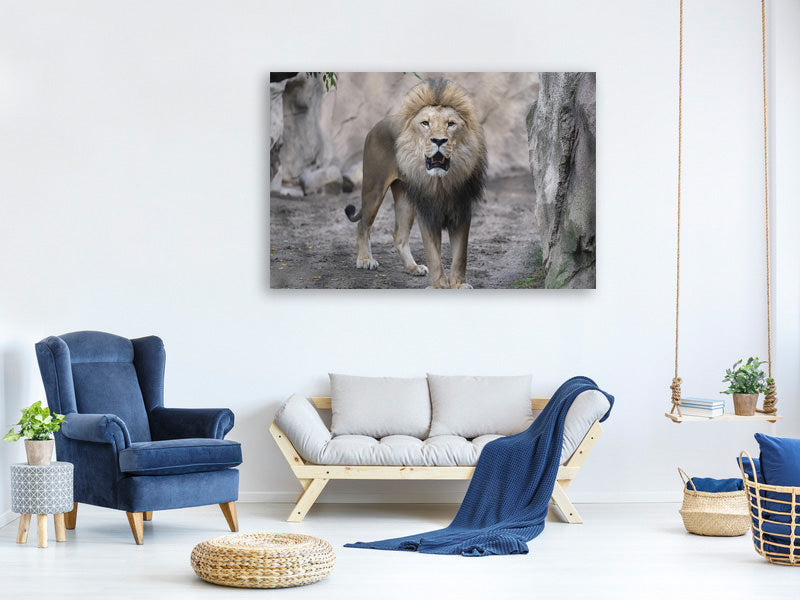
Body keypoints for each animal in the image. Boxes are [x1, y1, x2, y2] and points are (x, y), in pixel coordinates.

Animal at [344, 78, 487, 289]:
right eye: (425, 123)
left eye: (451, 124)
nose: (438, 140)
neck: (440, 183)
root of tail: (377, 124)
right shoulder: (427, 213)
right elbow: (433, 254)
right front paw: (439, 285)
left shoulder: (461, 211)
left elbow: (461, 255)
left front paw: (458, 284)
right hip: (374, 188)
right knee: (363, 225)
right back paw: (365, 260)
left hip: (406, 199)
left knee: (399, 236)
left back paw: (412, 267)